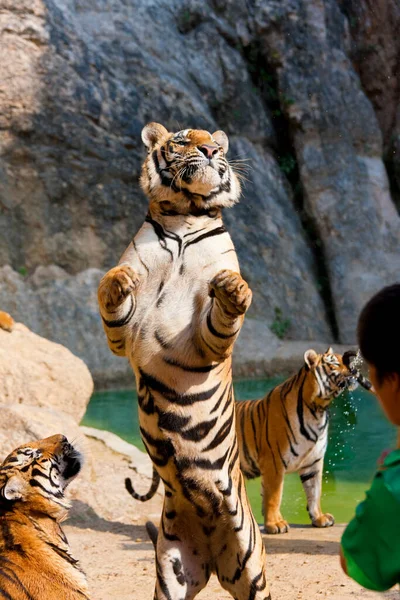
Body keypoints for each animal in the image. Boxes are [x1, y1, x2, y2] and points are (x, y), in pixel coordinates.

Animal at [98, 122, 270, 600]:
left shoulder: (207, 340)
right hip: (170, 570)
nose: (211, 150)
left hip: (253, 568)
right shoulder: (123, 334)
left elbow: (224, 312)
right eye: (182, 138)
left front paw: (234, 287)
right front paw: (118, 279)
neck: (185, 220)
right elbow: (112, 293)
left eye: (215, 142)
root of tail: (213, 557)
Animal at [236, 346, 374, 536]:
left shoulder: (313, 462)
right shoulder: (274, 463)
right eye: (335, 364)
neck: (318, 409)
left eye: (345, 361)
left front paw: (319, 518)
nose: (353, 370)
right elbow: (274, 496)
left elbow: (314, 492)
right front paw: (275, 524)